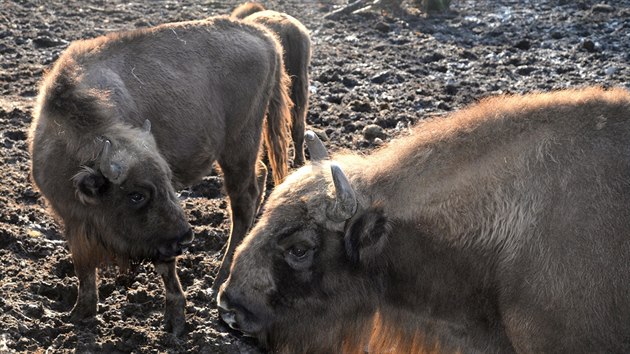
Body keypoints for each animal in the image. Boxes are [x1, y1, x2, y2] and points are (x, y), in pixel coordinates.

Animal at [30, 15, 294, 334]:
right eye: (136, 195)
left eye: (167, 182)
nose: (185, 238)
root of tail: (263, 35)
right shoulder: (71, 220)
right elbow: (83, 267)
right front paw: (80, 313)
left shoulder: (159, 240)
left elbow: (166, 267)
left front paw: (175, 323)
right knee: (260, 178)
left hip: (240, 145)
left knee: (243, 200)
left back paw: (219, 280)